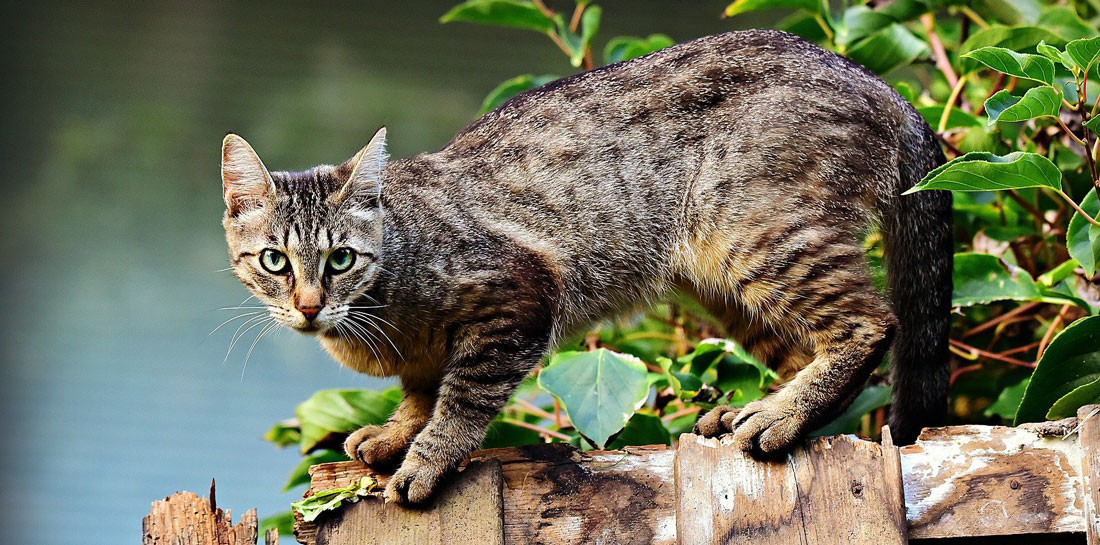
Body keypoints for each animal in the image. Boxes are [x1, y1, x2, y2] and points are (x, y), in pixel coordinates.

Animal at [218, 29, 950, 506]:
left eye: (340, 259)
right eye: (275, 261)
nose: (308, 305)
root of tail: (879, 84)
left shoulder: (517, 299)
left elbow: (460, 399)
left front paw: (426, 458)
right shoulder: (426, 355)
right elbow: (421, 391)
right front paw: (398, 433)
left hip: (755, 232)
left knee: (871, 323)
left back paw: (780, 415)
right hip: (719, 279)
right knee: (803, 347)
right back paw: (758, 408)